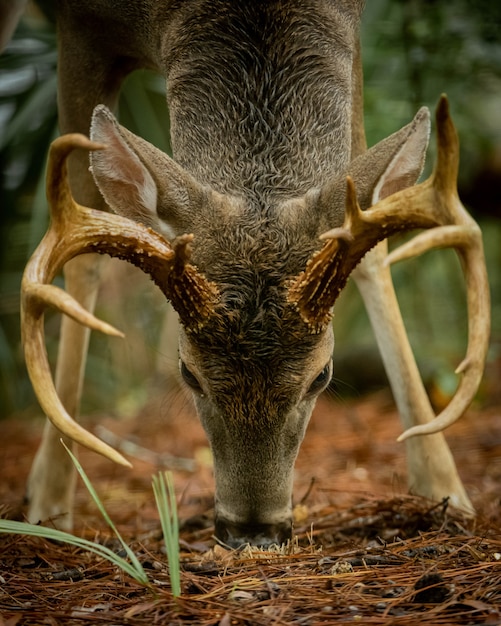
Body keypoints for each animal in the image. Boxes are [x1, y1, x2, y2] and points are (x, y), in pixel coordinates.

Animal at [16, 1, 488, 544]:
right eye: (188, 373)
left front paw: (445, 490)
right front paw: (48, 508)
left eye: (322, 376)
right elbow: (85, 248)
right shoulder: (81, 29)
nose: (253, 530)